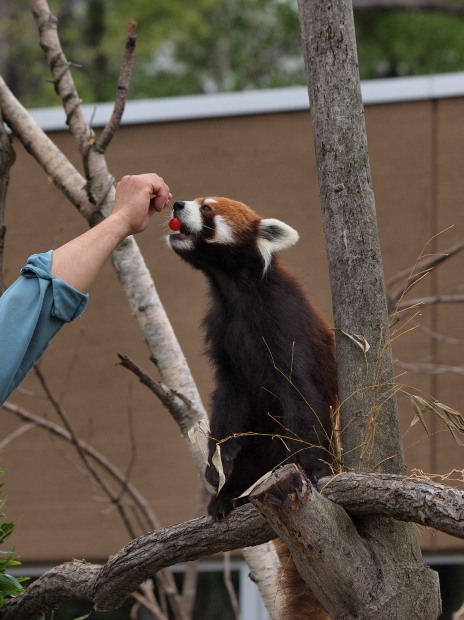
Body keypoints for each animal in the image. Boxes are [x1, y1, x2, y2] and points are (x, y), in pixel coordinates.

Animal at [167, 196, 338, 616]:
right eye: (194, 200)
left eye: (207, 209)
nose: (177, 204)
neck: (234, 290)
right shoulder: (222, 334)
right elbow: (228, 406)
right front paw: (217, 467)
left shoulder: (285, 322)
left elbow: (300, 395)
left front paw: (312, 468)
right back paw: (226, 496)